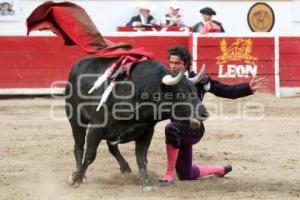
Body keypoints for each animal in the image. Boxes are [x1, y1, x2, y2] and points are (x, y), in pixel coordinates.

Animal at [65, 55, 209, 188]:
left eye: (196, 91)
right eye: (181, 92)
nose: (204, 114)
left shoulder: (146, 132)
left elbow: (141, 158)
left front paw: (146, 183)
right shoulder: (96, 128)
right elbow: (90, 155)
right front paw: (77, 179)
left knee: (112, 147)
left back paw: (125, 168)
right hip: (75, 120)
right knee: (79, 146)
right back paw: (78, 174)